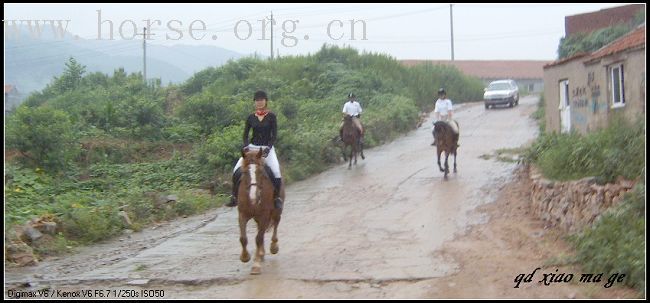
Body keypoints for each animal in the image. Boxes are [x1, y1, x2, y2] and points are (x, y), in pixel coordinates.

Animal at [235, 148, 280, 276]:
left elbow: (258, 238)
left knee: (275, 224)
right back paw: (261, 253)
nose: (253, 197)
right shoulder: (242, 214)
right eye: (245, 172)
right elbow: (243, 238)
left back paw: (273, 247)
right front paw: (245, 257)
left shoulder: (264, 214)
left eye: (260, 172)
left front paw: (256, 265)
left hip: (276, 212)